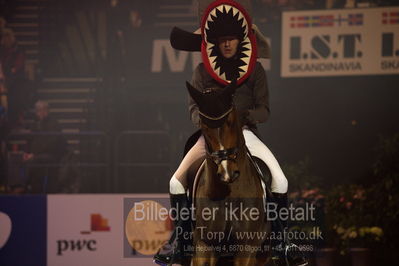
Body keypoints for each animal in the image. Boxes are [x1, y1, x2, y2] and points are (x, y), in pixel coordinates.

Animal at [188, 79, 272, 266]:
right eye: (205, 126)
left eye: (231, 121)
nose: (228, 173)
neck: (228, 194)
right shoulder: (205, 245)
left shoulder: (246, 247)